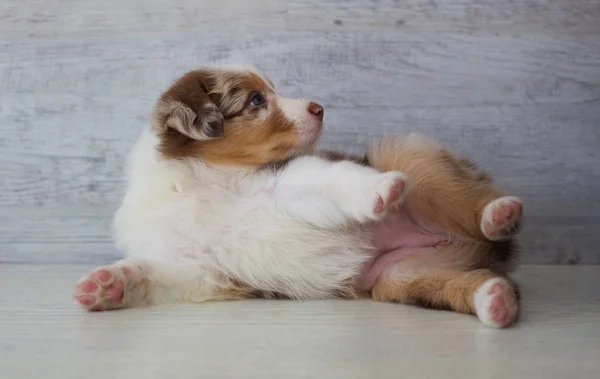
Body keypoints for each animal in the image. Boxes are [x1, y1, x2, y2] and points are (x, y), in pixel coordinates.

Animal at [74, 67, 520, 328]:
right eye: (256, 100)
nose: (320, 107)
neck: (205, 184)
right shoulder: (203, 269)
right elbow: (155, 274)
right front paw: (108, 284)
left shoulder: (286, 181)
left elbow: (333, 181)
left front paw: (380, 189)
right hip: (404, 276)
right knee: (469, 284)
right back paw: (494, 302)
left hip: (412, 154)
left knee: (475, 198)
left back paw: (499, 214)